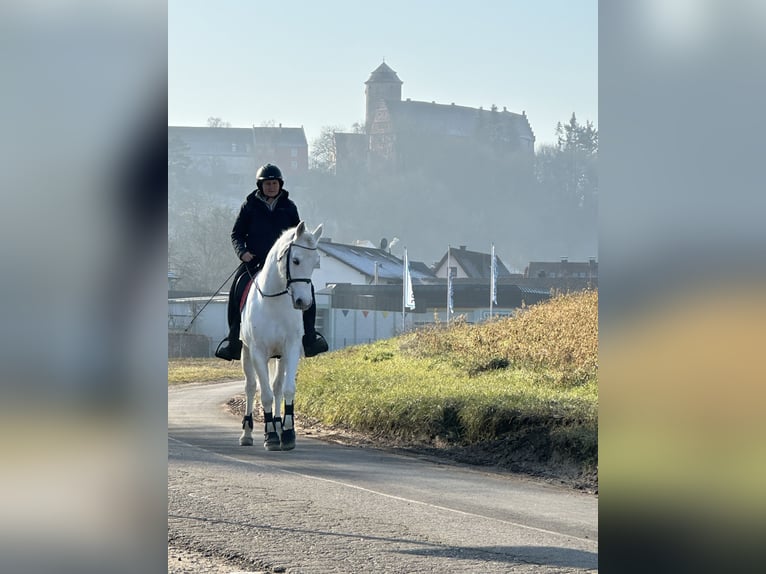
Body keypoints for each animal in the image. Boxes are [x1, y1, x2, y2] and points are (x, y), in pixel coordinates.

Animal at [240, 223, 324, 452]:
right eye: (295, 260)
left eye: (316, 262)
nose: (304, 302)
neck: (274, 300)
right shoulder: (258, 352)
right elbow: (265, 394)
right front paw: (270, 436)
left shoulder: (291, 349)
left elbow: (287, 389)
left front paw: (287, 433)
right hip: (246, 352)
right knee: (251, 387)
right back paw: (247, 434)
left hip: (280, 357)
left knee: (277, 387)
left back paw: (278, 426)